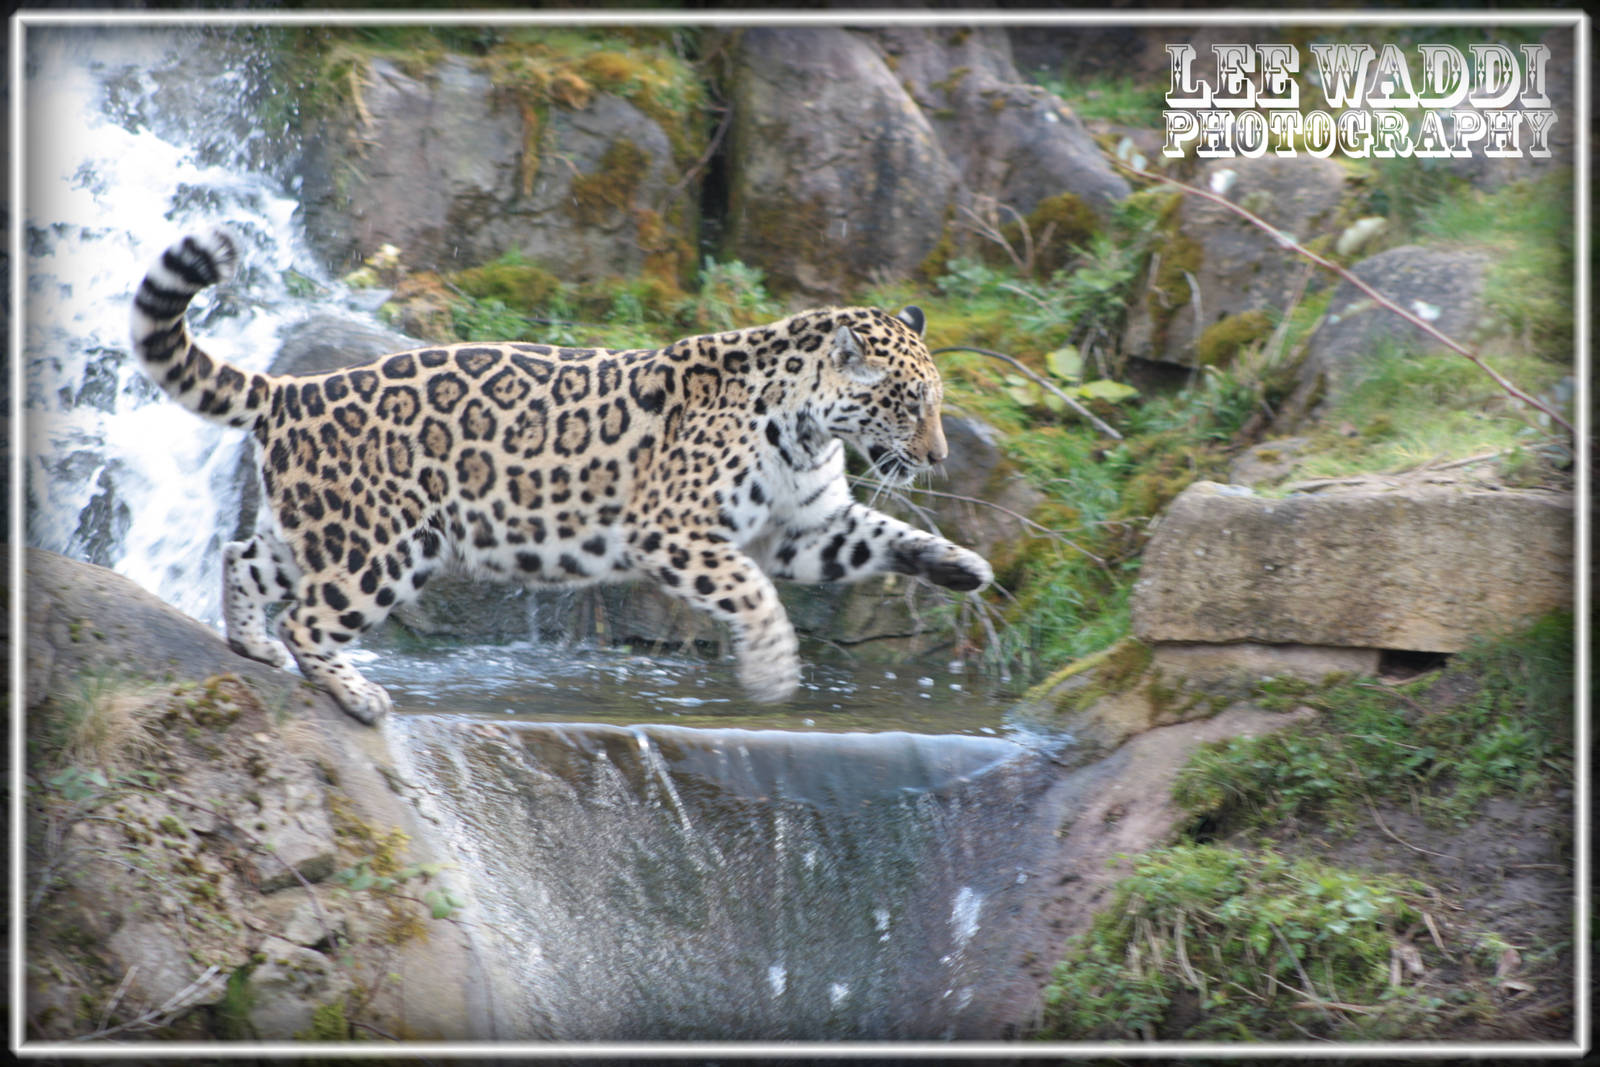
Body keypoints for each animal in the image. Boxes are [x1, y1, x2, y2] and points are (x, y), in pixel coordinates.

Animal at [130, 227, 993, 724]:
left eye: (935, 402)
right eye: (910, 401)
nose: (940, 457)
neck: (809, 429)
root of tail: (292, 389)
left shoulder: (807, 526)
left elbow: (885, 533)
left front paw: (964, 565)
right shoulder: (673, 530)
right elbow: (754, 592)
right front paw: (777, 669)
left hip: (320, 526)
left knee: (242, 557)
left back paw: (250, 645)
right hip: (383, 545)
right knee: (310, 616)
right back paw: (359, 695)